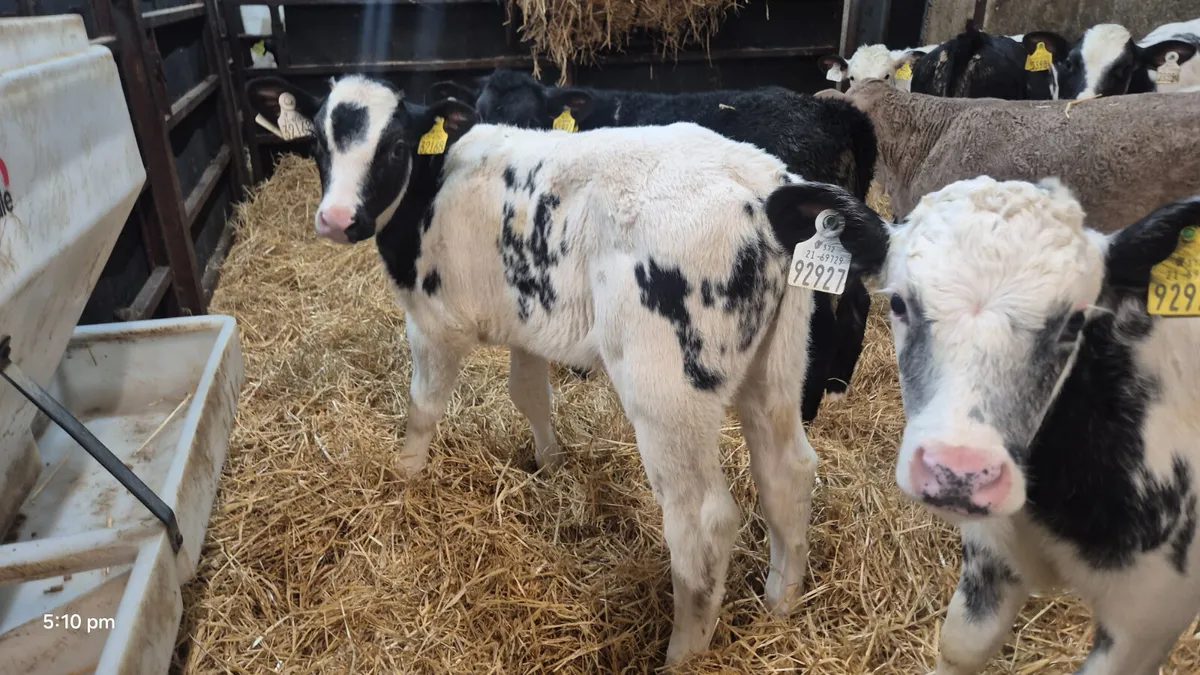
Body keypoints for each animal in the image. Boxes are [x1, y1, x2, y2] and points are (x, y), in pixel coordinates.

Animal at [434, 67, 880, 422]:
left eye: (530, 120)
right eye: (479, 116)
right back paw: (837, 387)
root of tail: (836, 114)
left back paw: (806, 408)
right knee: (857, 301)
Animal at [765, 174, 1200, 675]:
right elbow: (963, 645)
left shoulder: (1147, 618)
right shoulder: (991, 552)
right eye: (899, 303)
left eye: (1074, 322)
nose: (958, 472)